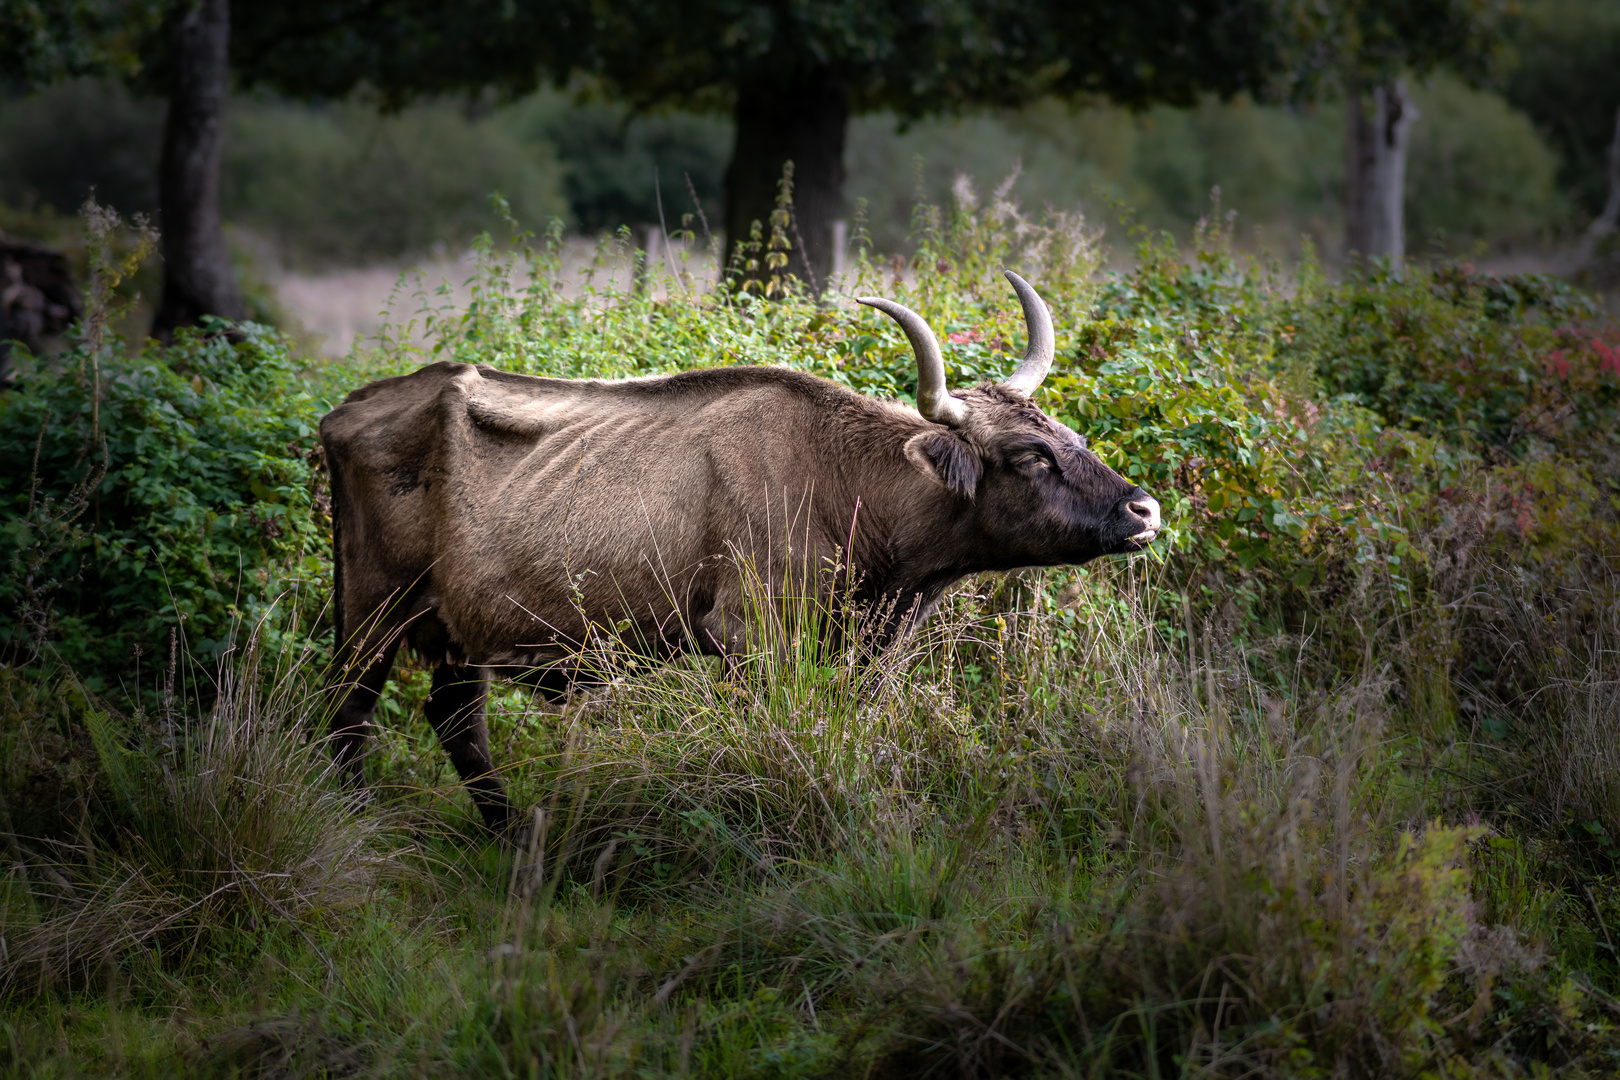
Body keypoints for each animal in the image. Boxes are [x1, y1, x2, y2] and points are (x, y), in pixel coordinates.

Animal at [325, 275, 1166, 835]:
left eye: (1073, 438)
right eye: (1030, 455)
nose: (1145, 509)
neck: (841, 481)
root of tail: (354, 405)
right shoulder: (749, 639)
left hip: (456, 632)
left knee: (454, 719)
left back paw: (512, 831)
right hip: (372, 611)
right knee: (349, 713)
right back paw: (361, 827)